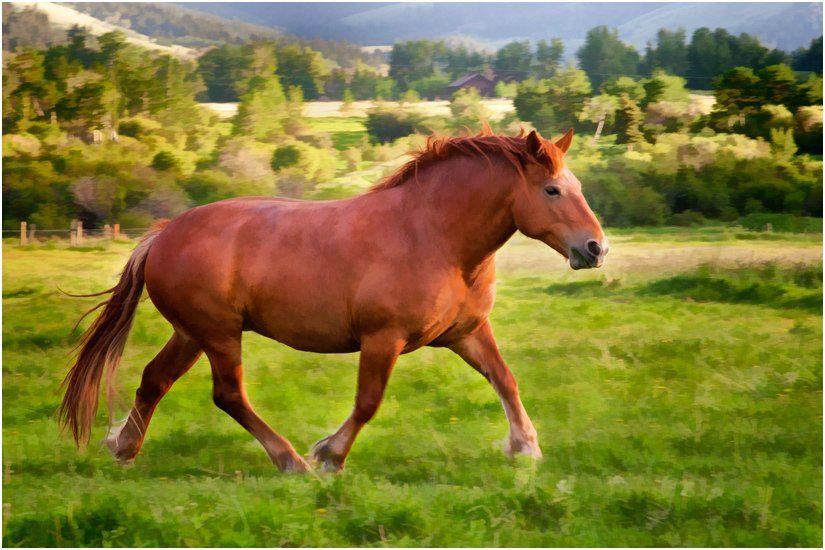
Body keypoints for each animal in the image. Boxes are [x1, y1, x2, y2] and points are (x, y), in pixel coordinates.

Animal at [59, 127, 607, 473]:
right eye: (553, 190)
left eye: (577, 185)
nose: (595, 248)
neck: (434, 236)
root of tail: (163, 235)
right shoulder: (382, 339)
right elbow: (368, 402)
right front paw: (329, 455)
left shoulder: (466, 333)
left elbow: (505, 380)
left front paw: (526, 450)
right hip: (219, 334)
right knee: (228, 395)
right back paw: (291, 462)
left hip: (192, 333)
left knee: (155, 381)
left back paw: (123, 448)